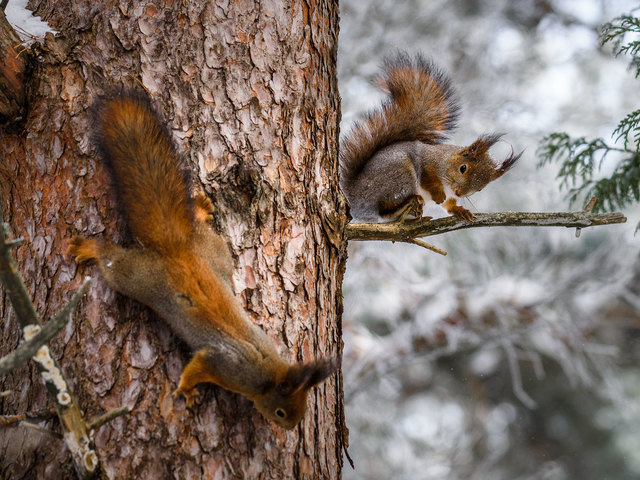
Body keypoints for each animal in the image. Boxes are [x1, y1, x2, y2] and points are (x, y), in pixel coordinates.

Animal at [67, 93, 338, 428]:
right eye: (281, 412)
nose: (289, 427)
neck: (267, 374)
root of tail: (176, 249)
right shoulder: (222, 365)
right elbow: (196, 367)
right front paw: (186, 390)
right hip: (136, 277)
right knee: (111, 261)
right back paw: (89, 248)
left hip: (216, 252)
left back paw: (200, 209)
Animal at [340, 52, 520, 223]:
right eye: (463, 168)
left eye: (481, 188)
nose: (459, 193)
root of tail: (355, 198)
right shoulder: (426, 161)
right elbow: (428, 179)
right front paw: (438, 194)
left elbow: (449, 204)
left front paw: (460, 210)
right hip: (399, 175)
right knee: (385, 210)